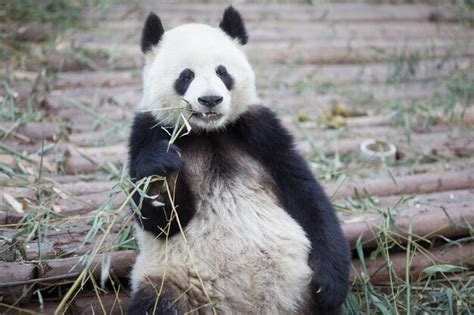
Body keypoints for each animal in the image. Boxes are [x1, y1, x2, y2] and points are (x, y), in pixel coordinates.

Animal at [128, 6, 350, 314]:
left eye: (222, 72)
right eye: (186, 75)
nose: (210, 99)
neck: (207, 132)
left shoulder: (259, 130)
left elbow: (304, 193)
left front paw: (329, 284)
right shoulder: (147, 132)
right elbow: (162, 223)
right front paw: (161, 176)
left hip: (299, 293)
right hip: (172, 281)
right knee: (155, 302)